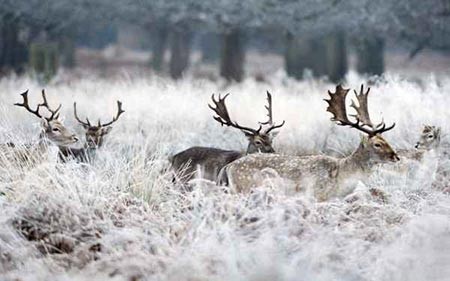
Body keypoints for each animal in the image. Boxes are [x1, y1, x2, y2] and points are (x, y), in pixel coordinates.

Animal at [220, 84, 400, 200]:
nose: (396, 156)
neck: (341, 176)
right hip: (246, 188)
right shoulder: (316, 195)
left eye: (386, 139)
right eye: (377, 144)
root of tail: (228, 167)